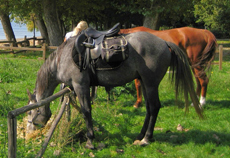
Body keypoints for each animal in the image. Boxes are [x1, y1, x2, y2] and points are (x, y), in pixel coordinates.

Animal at [27, 31, 202, 149]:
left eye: (30, 113)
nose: (30, 132)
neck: (62, 58)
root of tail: (164, 43)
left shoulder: (80, 85)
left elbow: (86, 111)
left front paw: (90, 140)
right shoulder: (74, 88)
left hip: (151, 83)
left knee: (154, 107)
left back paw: (146, 139)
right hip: (145, 83)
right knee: (148, 108)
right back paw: (140, 135)